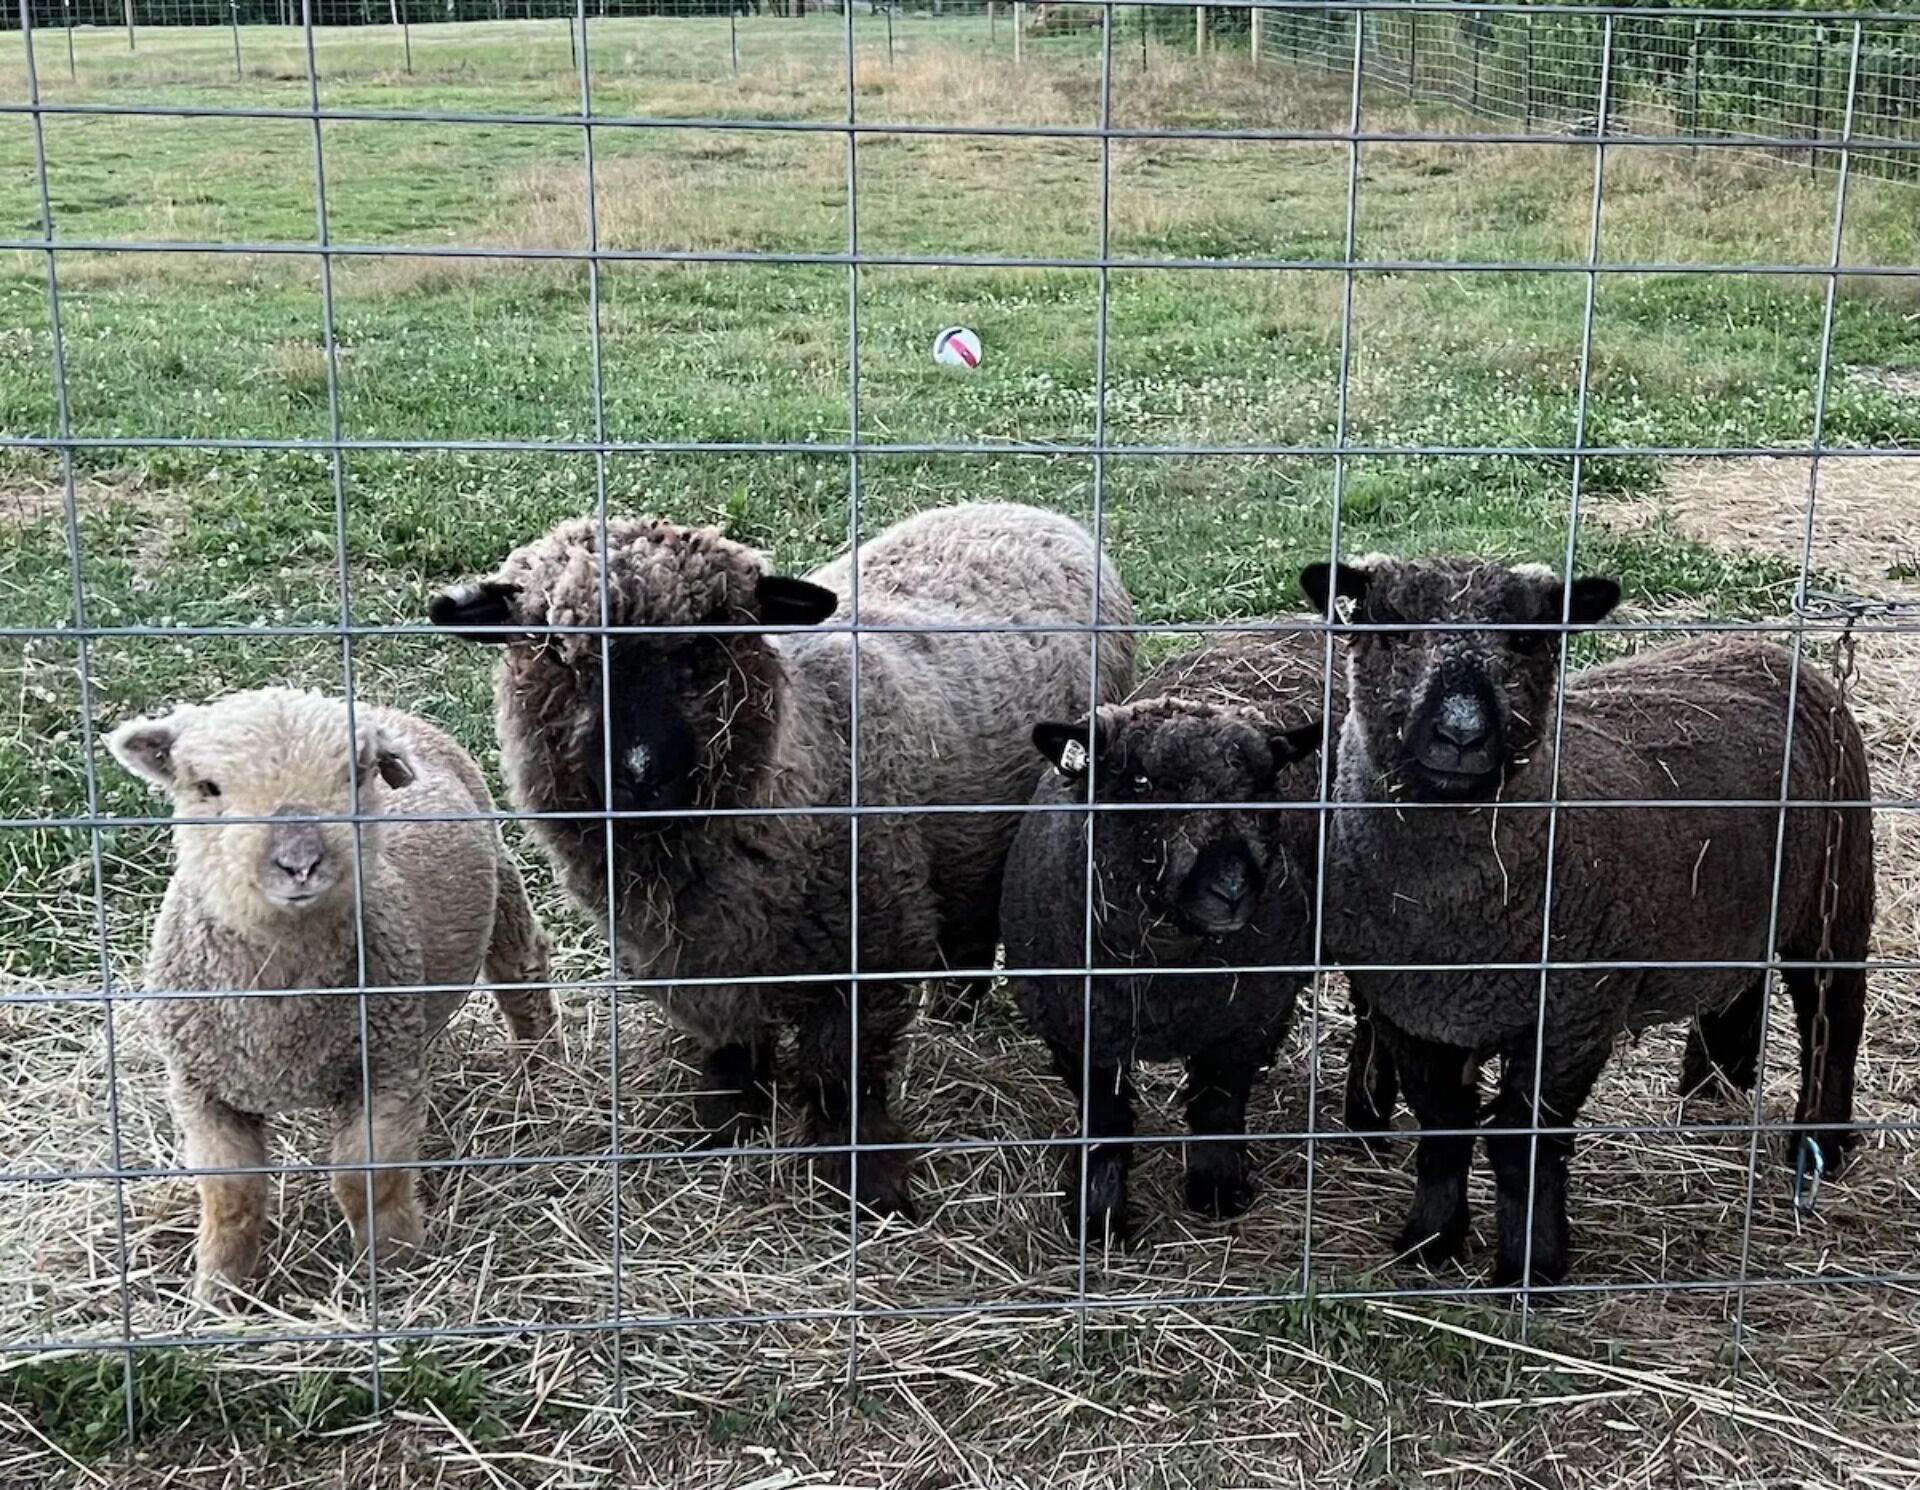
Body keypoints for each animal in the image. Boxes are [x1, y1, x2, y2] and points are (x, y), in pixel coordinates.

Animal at [108, 688, 554, 1305]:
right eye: (208, 788)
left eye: (355, 774)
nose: (299, 862)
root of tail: (382, 707)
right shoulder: (202, 1089)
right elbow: (231, 1196)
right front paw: (218, 1290)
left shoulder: (383, 1073)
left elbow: (368, 1179)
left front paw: (397, 1266)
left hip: (502, 878)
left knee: (522, 971)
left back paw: (542, 1073)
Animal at [429, 502, 1135, 1218]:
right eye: (557, 651)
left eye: (705, 645)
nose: (638, 773)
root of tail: (1025, 510)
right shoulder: (696, 962)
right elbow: (731, 1053)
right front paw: (724, 1132)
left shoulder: (869, 950)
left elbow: (844, 1079)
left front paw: (872, 1188)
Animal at [1001, 630, 1336, 1240]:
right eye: (1139, 782)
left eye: (1264, 784)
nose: (1231, 889)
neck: (1165, 976)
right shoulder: (1071, 1024)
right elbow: (1106, 1118)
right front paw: (1099, 1214)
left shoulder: (1245, 1017)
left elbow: (1217, 1104)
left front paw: (1217, 1189)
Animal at [1300, 554, 1873, 1286]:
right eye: (1391, 625)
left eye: (1528, 639)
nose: (1461, 734)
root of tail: (1764, 649)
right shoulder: (1408, 1009)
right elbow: (1443, 1123)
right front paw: (1429, 1240)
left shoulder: (1576, 1008)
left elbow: (1523, 1139)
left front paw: (1532, 1264)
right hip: (1743, 902)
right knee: (1739, 984)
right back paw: (1713, 1082)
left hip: (1838, 887)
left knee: (1834, 1013)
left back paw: (1819, 1140)